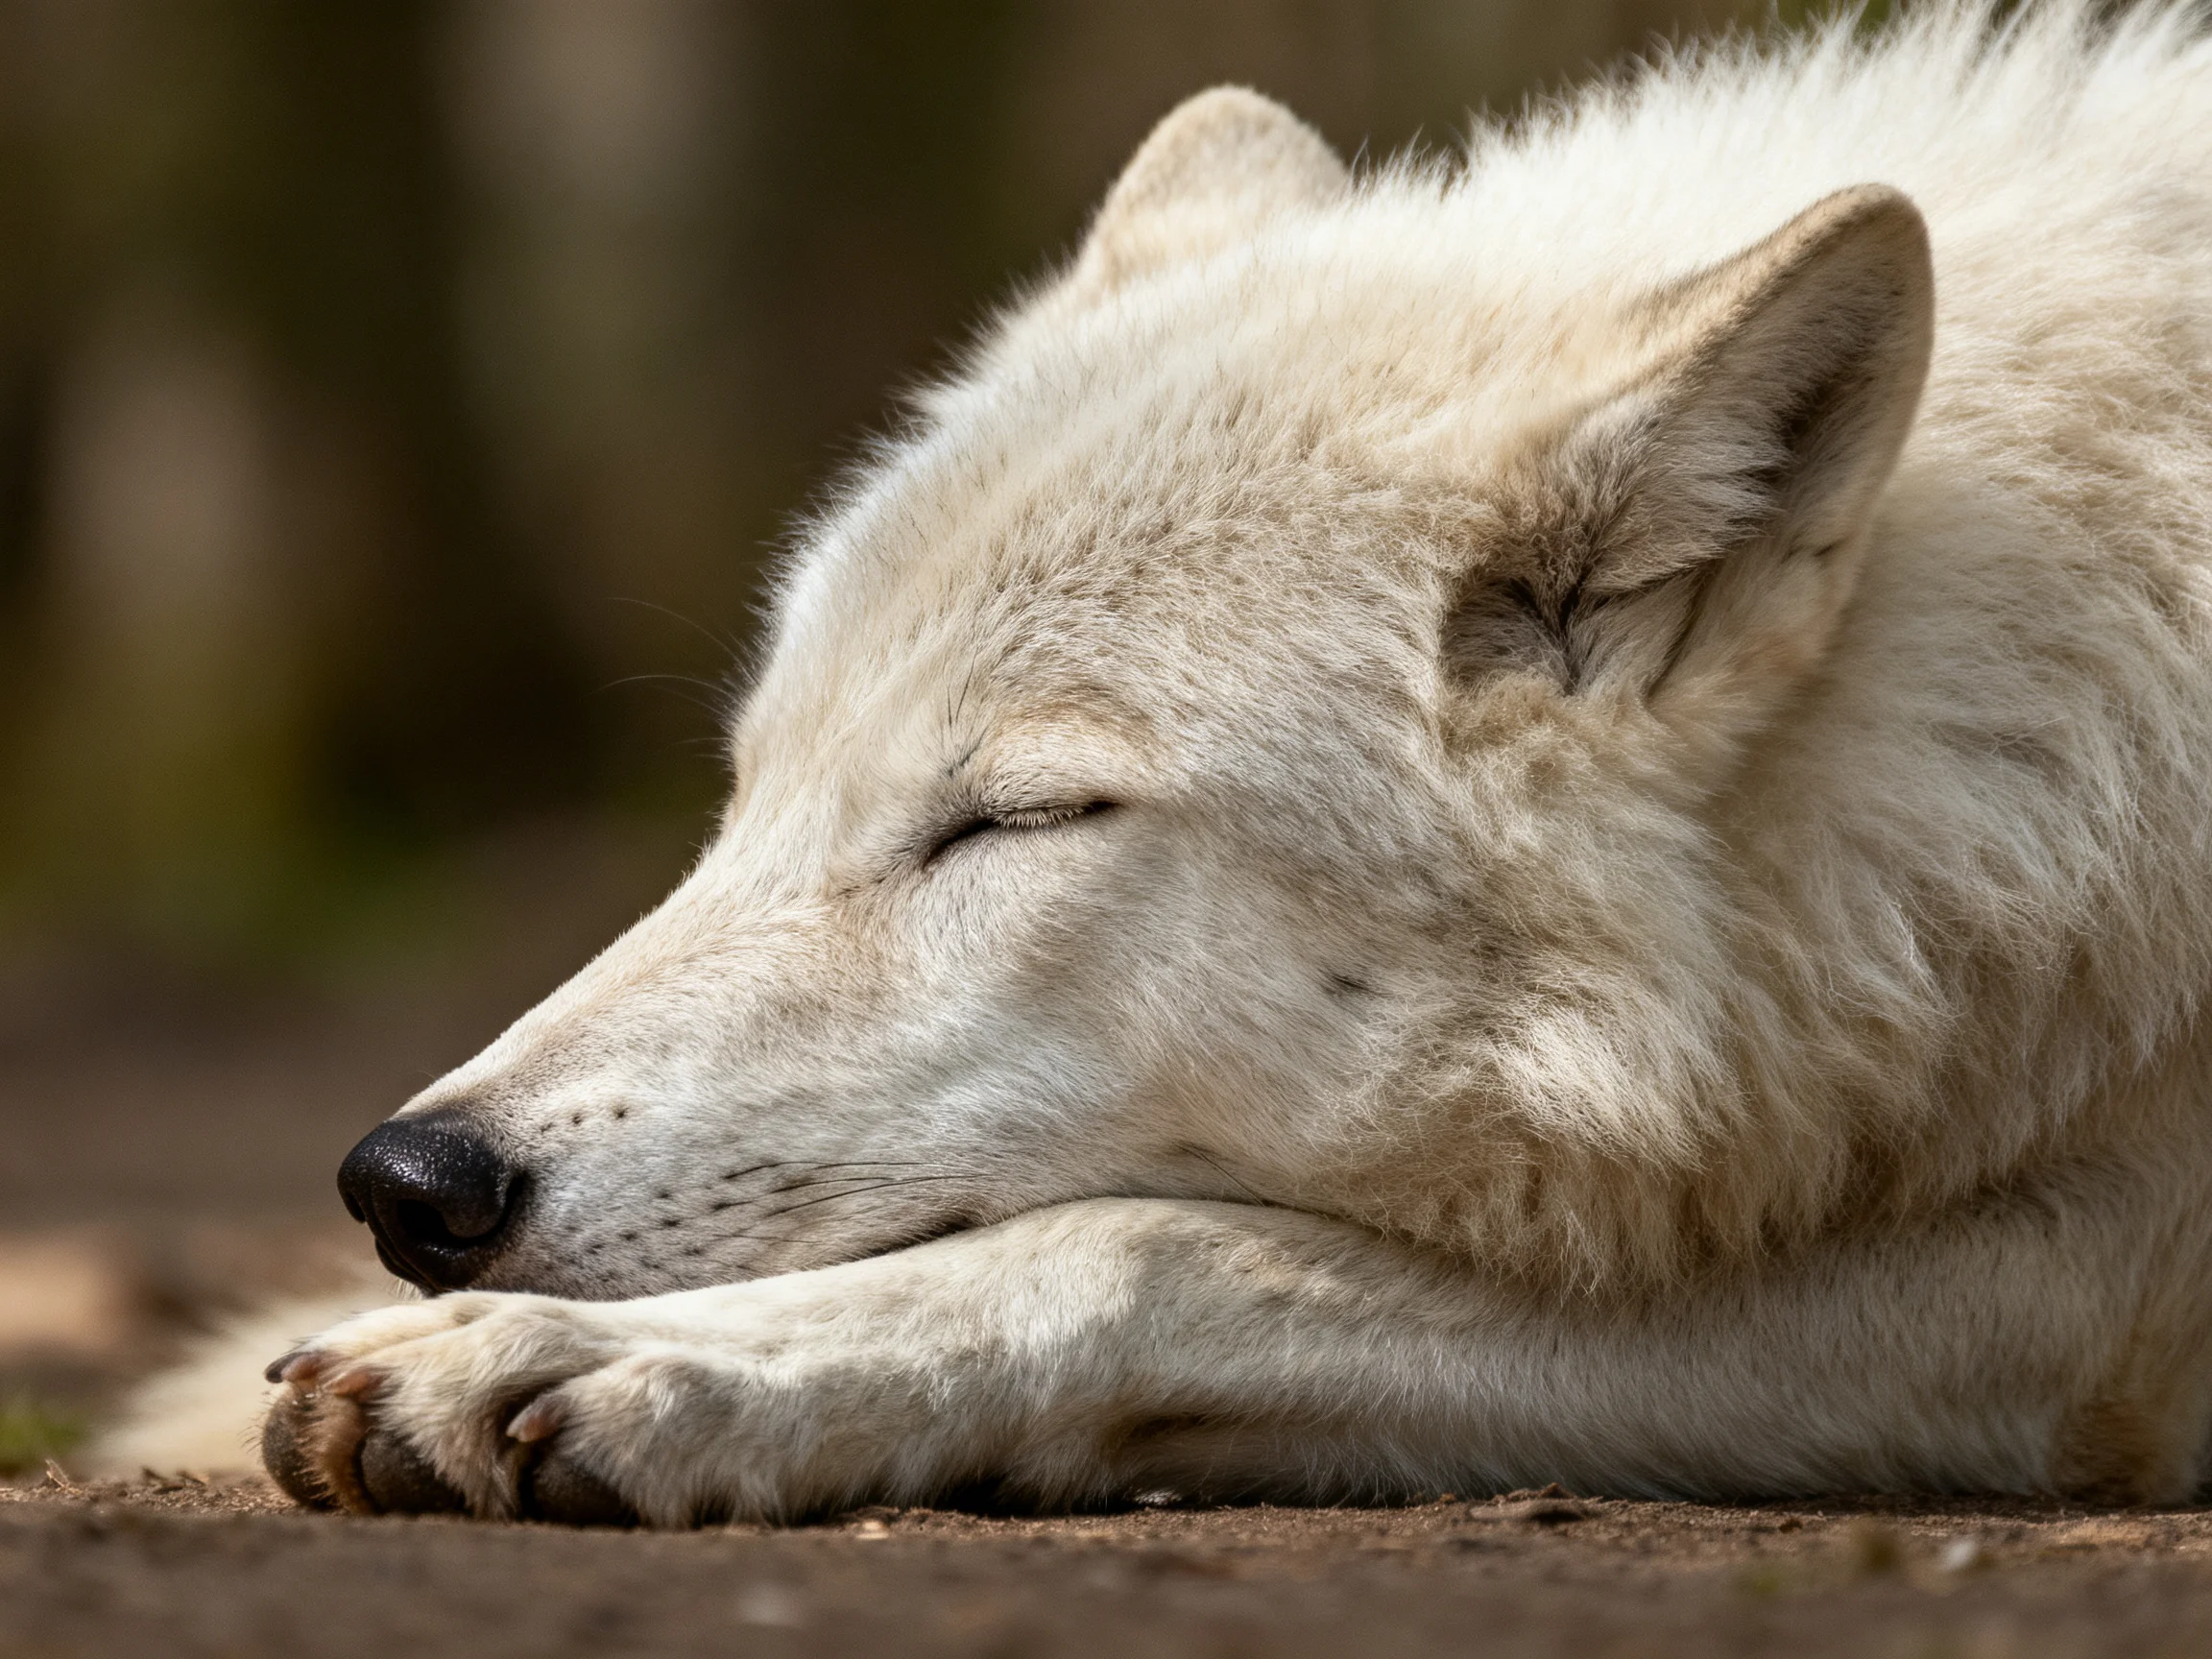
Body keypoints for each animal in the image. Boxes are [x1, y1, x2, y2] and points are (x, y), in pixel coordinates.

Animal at [112, 2, 2212, 1523]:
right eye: (749, 791)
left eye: (1014, 819)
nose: (410, 1184)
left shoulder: (2082, 1275)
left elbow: (1148, 1246)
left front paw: (612, 1366)